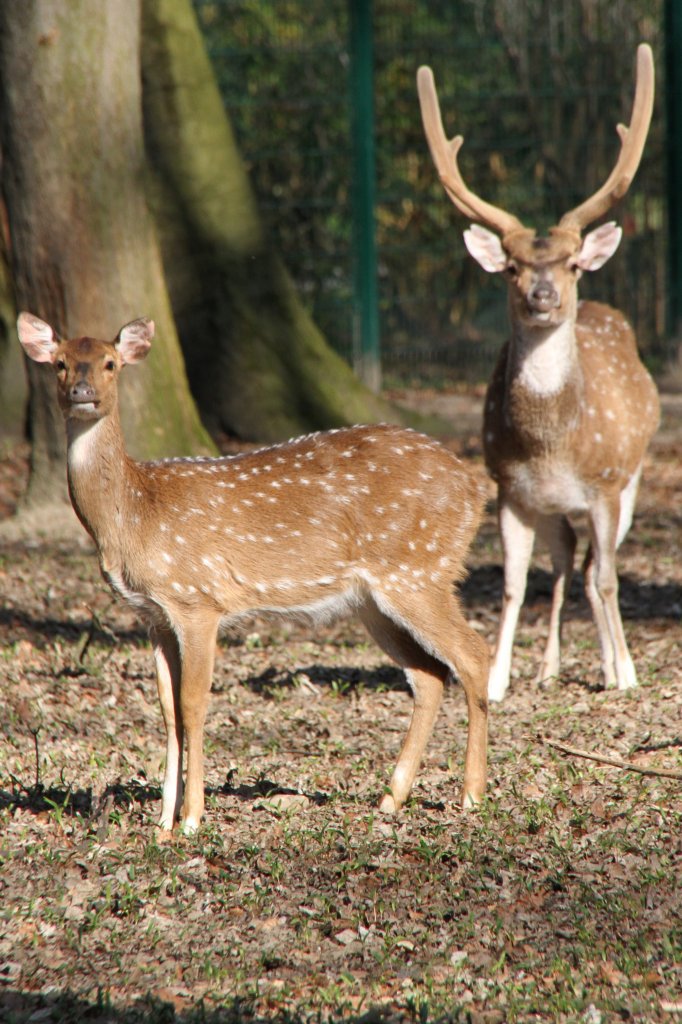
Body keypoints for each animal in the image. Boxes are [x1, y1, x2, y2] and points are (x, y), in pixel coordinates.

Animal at [413, 48, 659, 704]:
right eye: (512, 267)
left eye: (572, 263)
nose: (542, 296)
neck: (553, 443)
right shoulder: (509, 488)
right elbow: (512, 584)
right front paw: (497, 678)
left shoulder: (605, 483)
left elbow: (607, 581)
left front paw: (624, 673)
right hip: (550, 509)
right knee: (566, 559)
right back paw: (548, 666)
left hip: (631, 481)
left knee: (597, 567)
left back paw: (607, 663)